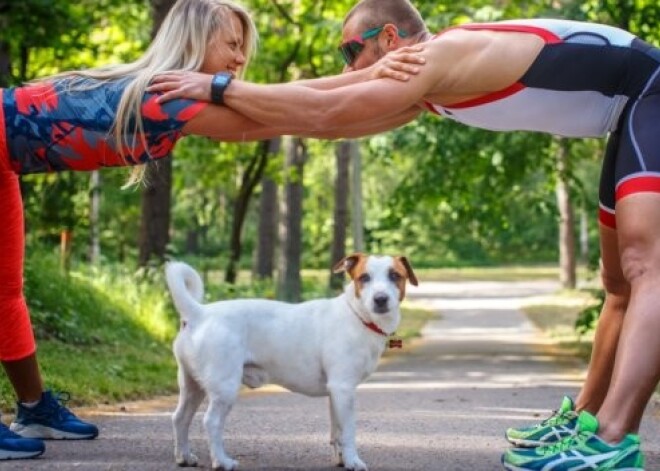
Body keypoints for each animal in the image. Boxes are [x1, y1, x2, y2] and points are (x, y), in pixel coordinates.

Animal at [166, 254, 418, 471]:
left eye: (395, 275)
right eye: (364, 277)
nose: (380, 299)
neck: (357, 316)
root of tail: (199, 313)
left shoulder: (336, 393)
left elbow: (336, 431)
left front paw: (341, 459)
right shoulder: (344, 388)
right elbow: (348, 432)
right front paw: (353, 461)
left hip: (192, 386)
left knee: (180, 418)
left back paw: (184, 457)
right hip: (224, 387)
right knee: (211, 422)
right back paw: (222, 461)